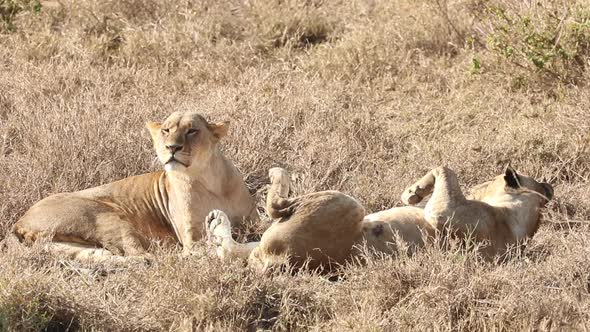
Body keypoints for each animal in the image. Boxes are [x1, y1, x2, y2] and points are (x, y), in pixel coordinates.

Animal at [208, 166, 556, 272]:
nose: (549, 185)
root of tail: (275, 262)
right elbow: (446, 169)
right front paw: (415, 191)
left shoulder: (444, 211)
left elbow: (445, 167)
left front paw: (412, 193)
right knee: (229, 249)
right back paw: (214, 221)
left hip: (346, 204)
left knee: (275, 204)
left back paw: (275, 174)